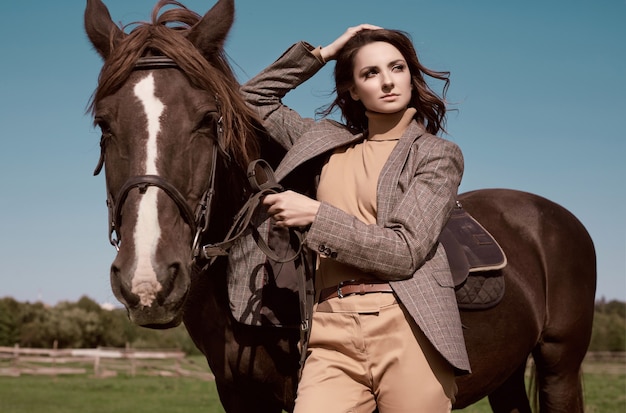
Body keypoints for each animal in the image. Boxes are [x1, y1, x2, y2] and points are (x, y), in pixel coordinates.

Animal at [84, 1, 596, 410]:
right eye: (104, 124)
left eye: (208, 120)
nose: (148, 279)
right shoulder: (238, 395)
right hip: (506, 374)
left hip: (560, 366)